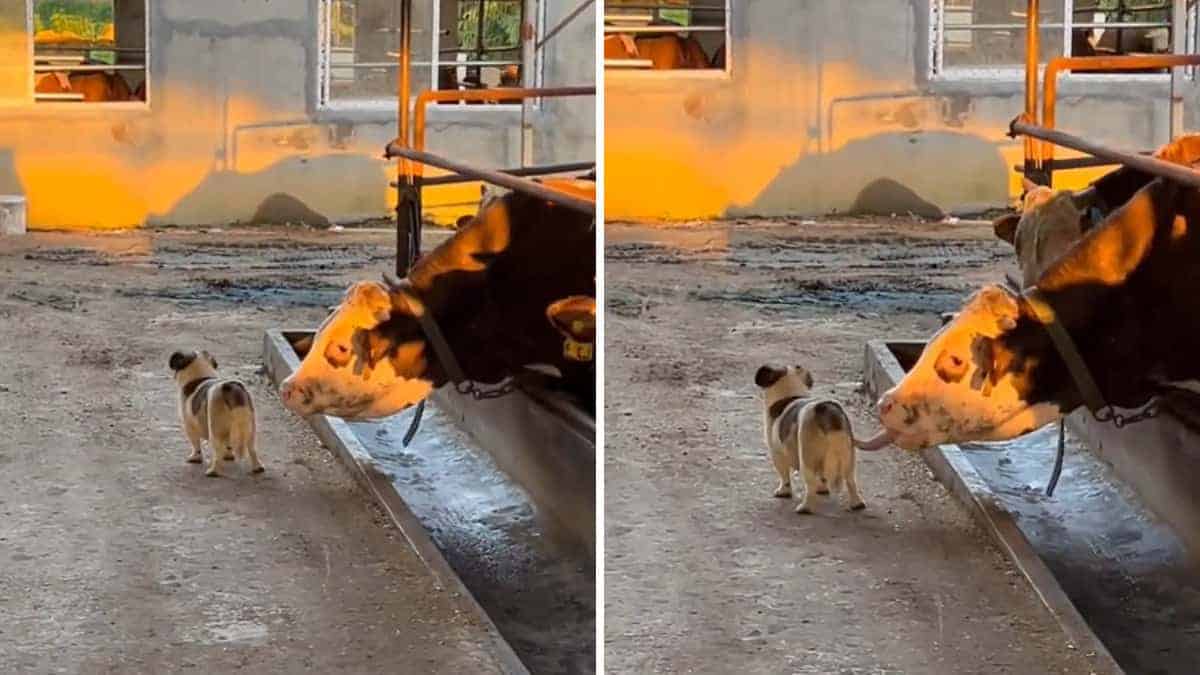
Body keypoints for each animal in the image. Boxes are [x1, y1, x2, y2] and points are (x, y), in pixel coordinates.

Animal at [753, 365, 868, 511]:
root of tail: (827, 412)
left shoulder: (776, 453)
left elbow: (784, 476)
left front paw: (783, 492)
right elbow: (822, 478)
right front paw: (822, 488)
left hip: (806, 458)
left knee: (810, 485)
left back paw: (805, 507)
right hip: (848, 457)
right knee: (851, 481)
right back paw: (857, 503)